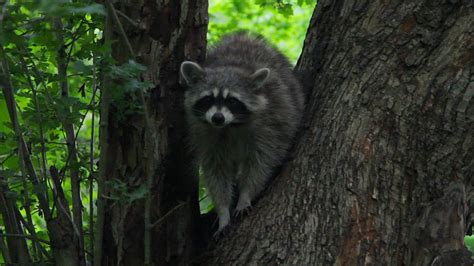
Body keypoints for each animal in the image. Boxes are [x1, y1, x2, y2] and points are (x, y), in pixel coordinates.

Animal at [178, 32, 304, 233]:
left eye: (232, 101)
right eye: (208, 99)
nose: (218, 118)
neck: (229, 126)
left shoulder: (269, 126)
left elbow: (261, 163)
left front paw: (245, 196)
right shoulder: (204, 135)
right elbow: (216, 172)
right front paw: (223, 212)